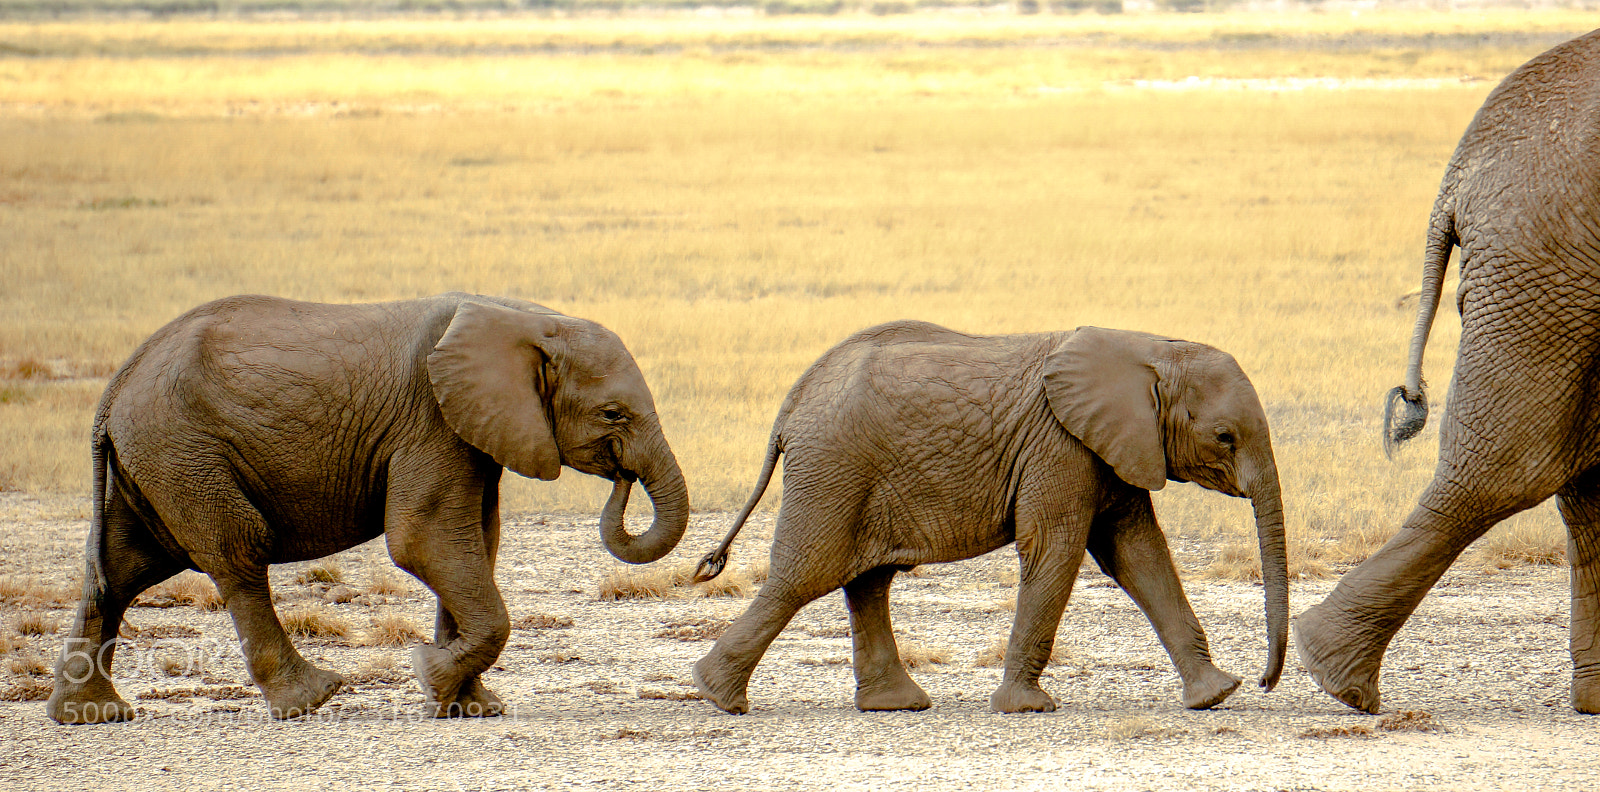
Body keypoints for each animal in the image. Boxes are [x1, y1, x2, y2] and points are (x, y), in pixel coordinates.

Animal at [46, 293, 689, 724]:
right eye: (612, 414)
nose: (623, 478)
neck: (525, 315)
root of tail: (114, 386)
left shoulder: (470, 429)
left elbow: (476, 541)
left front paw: (469, 705)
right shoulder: (430, 420)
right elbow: (423, 540)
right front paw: (432, 677)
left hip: (154, 459)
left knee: (122, 569)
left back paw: (92, 716)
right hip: (182, 450)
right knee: (236, 554)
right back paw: (311, 699)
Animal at [689, 321, 1288, 714]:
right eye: (1224, 437)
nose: (1264, 682)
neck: (1150, 348)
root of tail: (791, 404)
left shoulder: (1112, 445)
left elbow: (1139, 553)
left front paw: (1216, 694)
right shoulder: (1061, 443)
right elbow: (1056, 548)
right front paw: (1027, 708)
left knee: (866, 580)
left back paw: (895, 705)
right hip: (833, 468)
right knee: (804, 575)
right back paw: (717, 697)